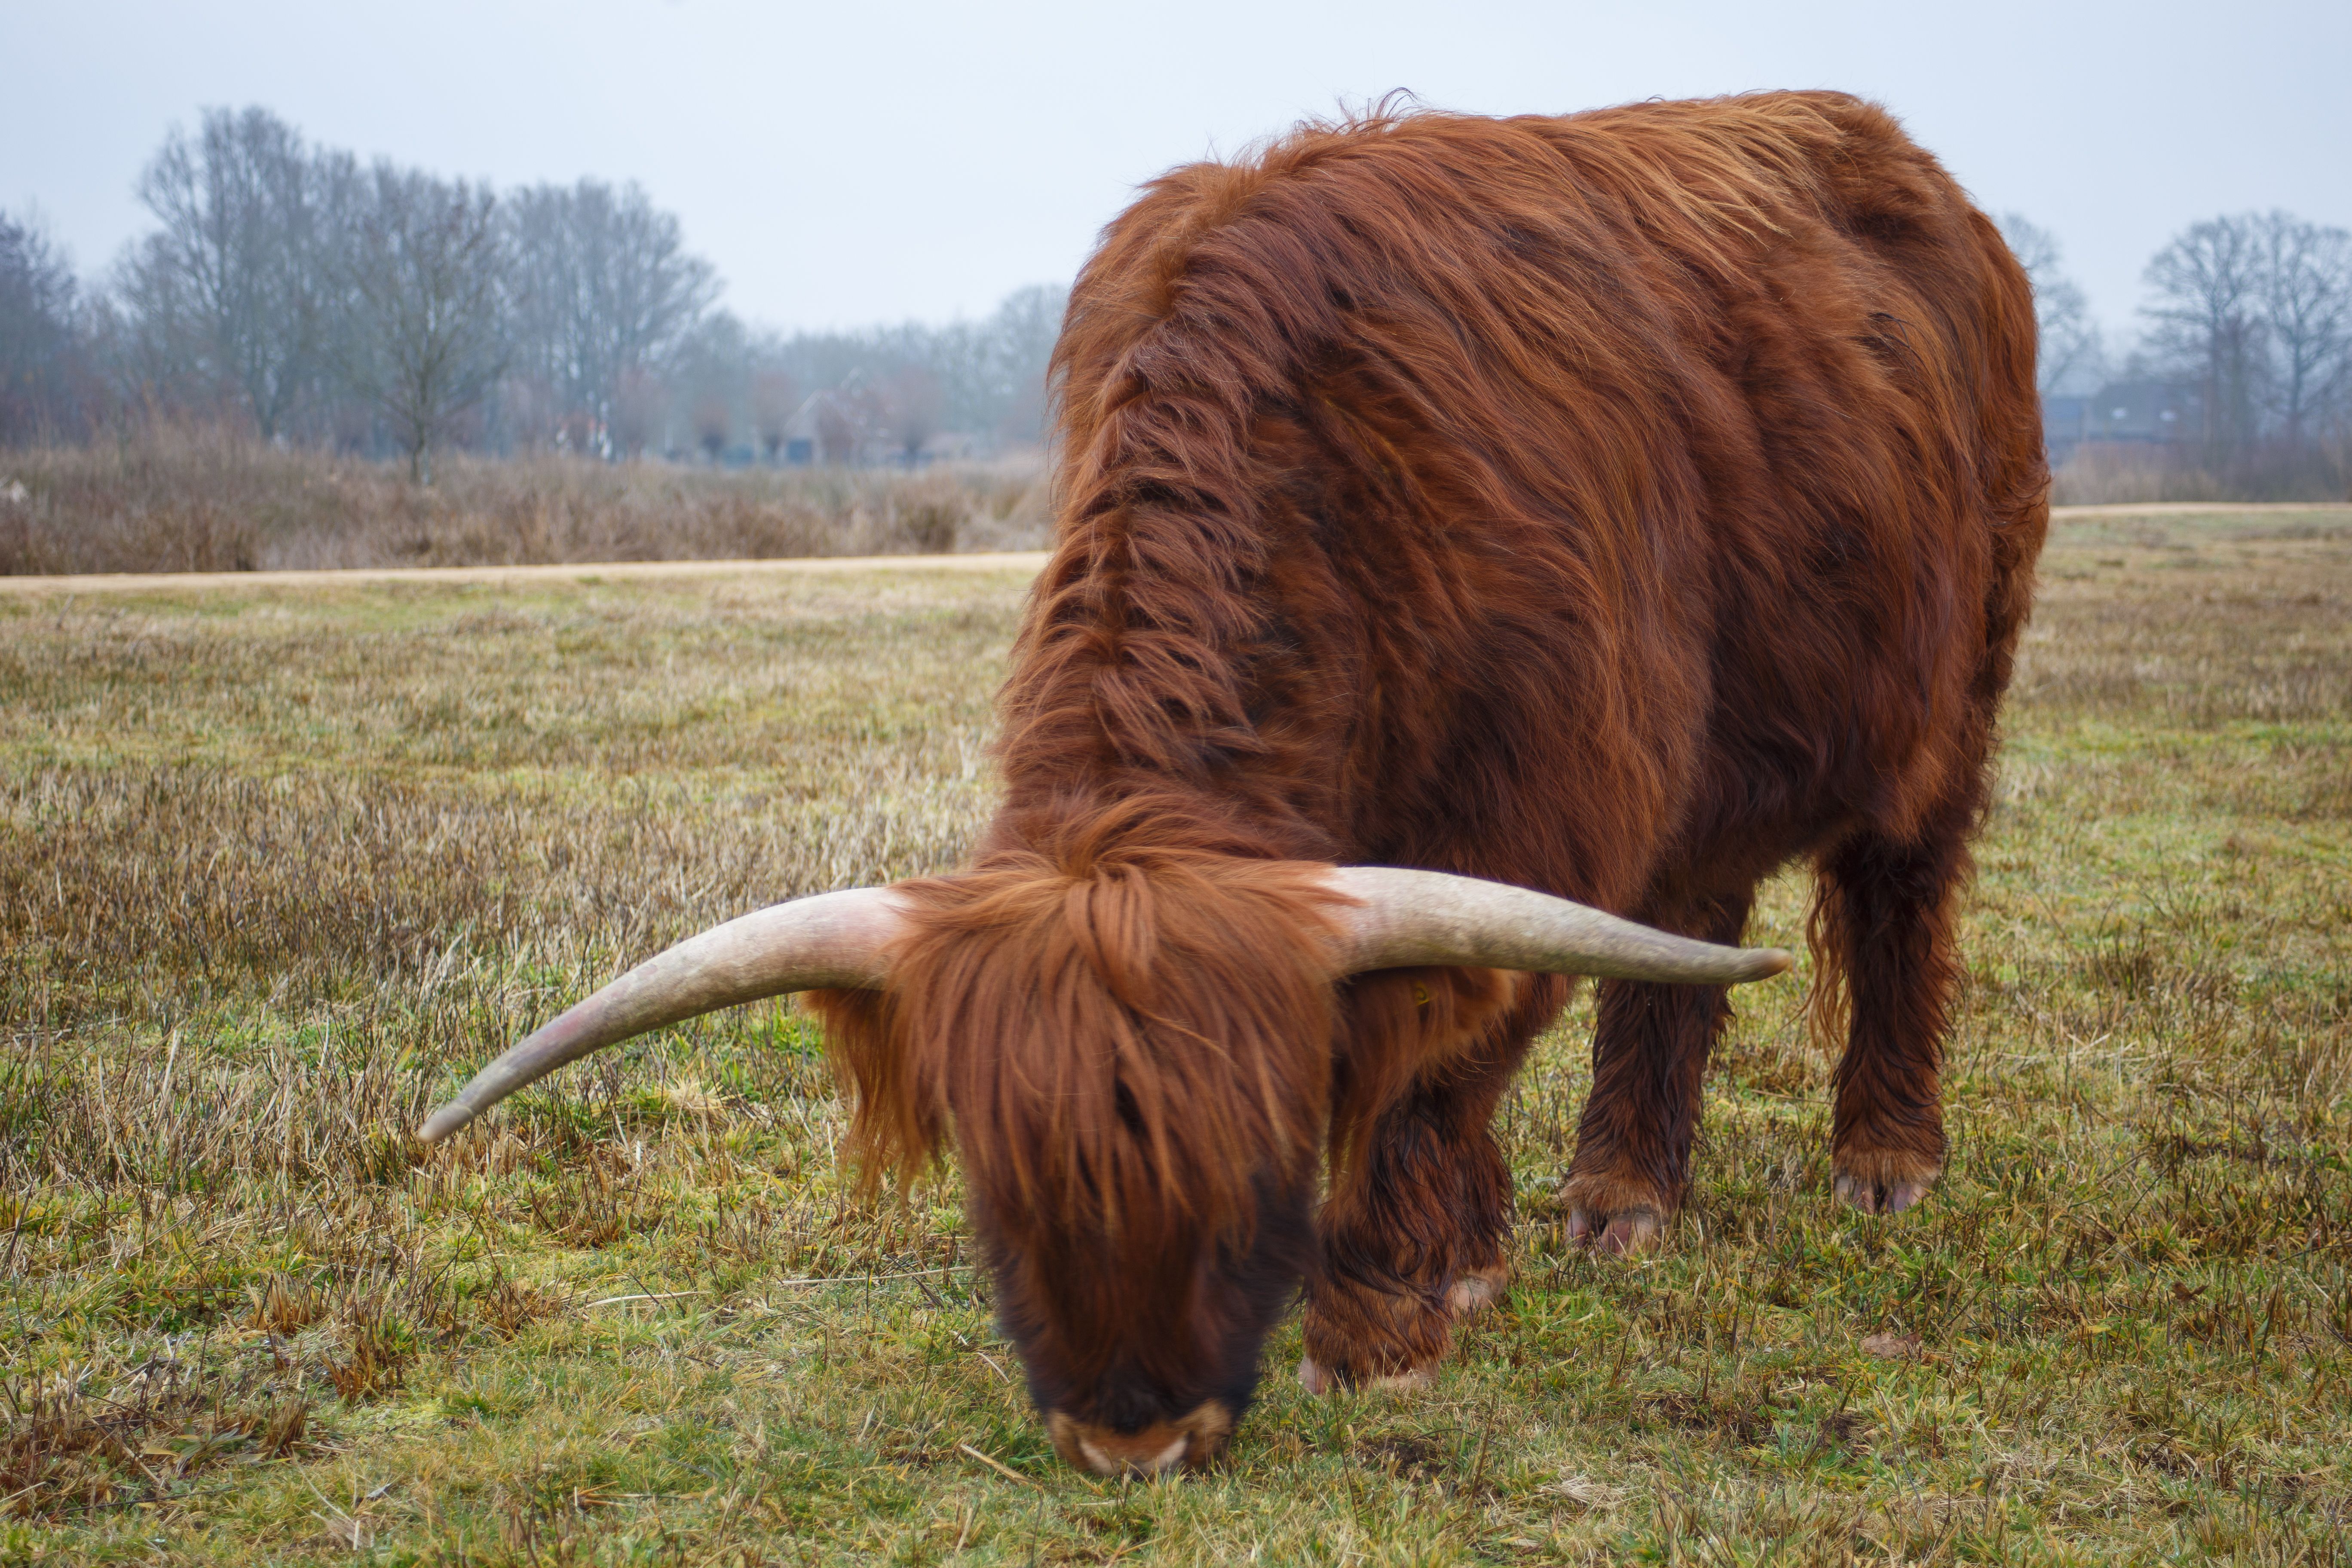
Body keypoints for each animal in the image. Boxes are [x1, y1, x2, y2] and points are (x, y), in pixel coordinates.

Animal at [418, 90, 2047, 1476]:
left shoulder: (1548, 802)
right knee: (1692, 929)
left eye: (1252, 1168)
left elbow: (1441, 1060)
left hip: (1951, 688)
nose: (1130, 1439)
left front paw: (1383, 1319)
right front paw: (1474, 1260)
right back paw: (1621, 1194)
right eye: (1003, 1188)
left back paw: (1885, 1157)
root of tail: (1908, 167)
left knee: (1900, 898)